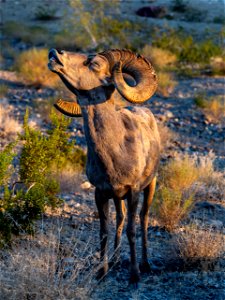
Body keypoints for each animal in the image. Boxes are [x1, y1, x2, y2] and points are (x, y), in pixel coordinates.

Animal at [48, 48, 160, 284]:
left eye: (95, 64)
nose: (55, 53)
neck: (114, 151)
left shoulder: (134, 191)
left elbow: (131, 231)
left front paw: (134, 275)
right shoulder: (101, 193)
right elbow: (104, 232)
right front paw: (102, 272)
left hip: (150, 186)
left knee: (143, 219)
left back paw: (145, 264)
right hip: (118, 198)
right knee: (120, 218)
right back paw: (116, 260)